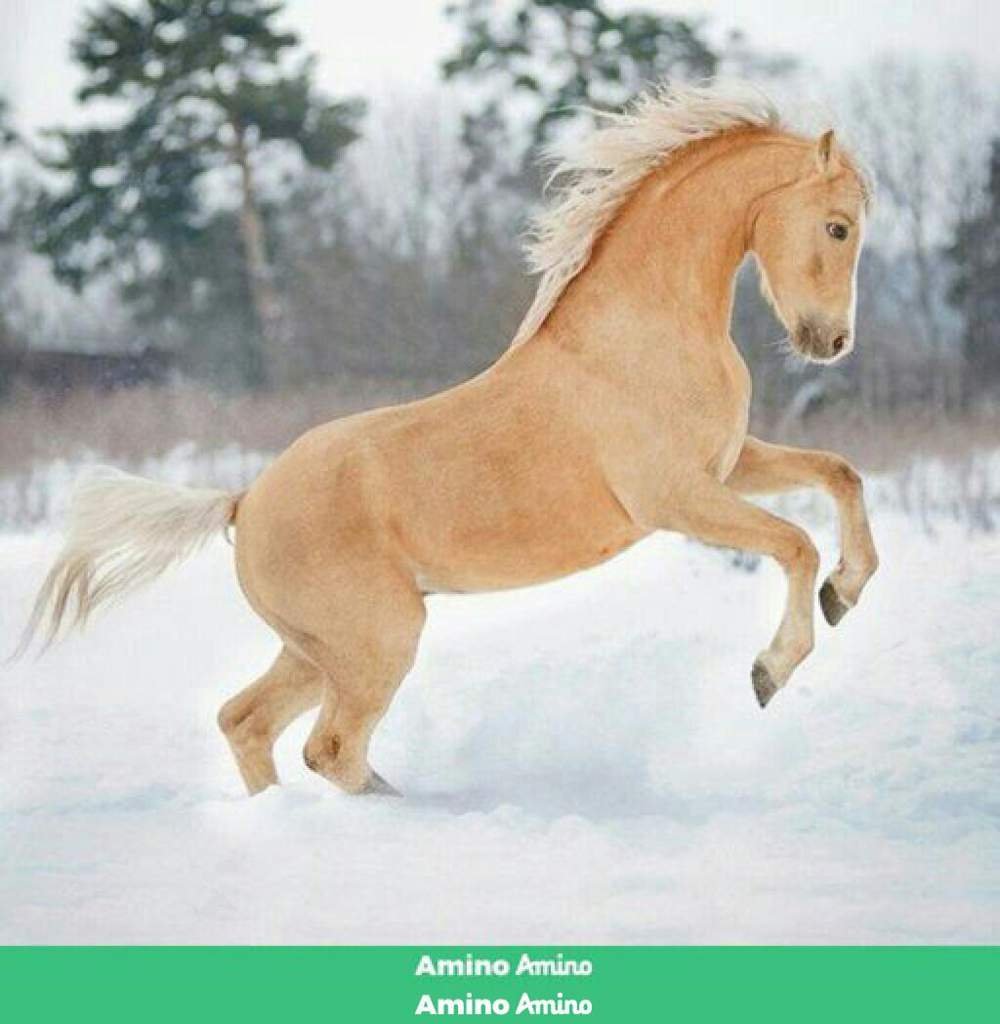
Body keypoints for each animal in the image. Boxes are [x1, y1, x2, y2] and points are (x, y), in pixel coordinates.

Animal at [18, 82, 879, 798]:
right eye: (837, 227)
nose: (832, 343)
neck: (641, 332)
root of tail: (242, 501)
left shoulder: (730, 466)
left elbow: (841, 473)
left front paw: (846, 593)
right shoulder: (674, 498)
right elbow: (796, 542)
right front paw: (772, 670)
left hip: (317, 648)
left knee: (248, 722)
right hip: (375, 642)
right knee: (331, 748)